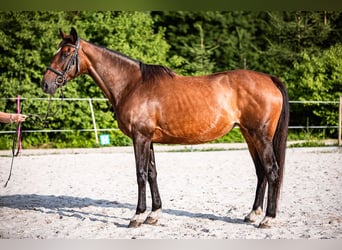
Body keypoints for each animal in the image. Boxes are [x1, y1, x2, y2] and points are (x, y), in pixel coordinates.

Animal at [42, 27, 288, 229]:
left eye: (66, 52)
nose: (46, 84)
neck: (132, 85)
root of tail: (270, 79)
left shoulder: (140, 138)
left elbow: (141, 174)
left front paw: (137, 216)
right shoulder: (148, 139)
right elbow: (152, 174)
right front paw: (154, 214)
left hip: (260, 137)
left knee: (272, 170)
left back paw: (268, 218)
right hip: (249, 136)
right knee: (261, 172)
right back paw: (253, 214)